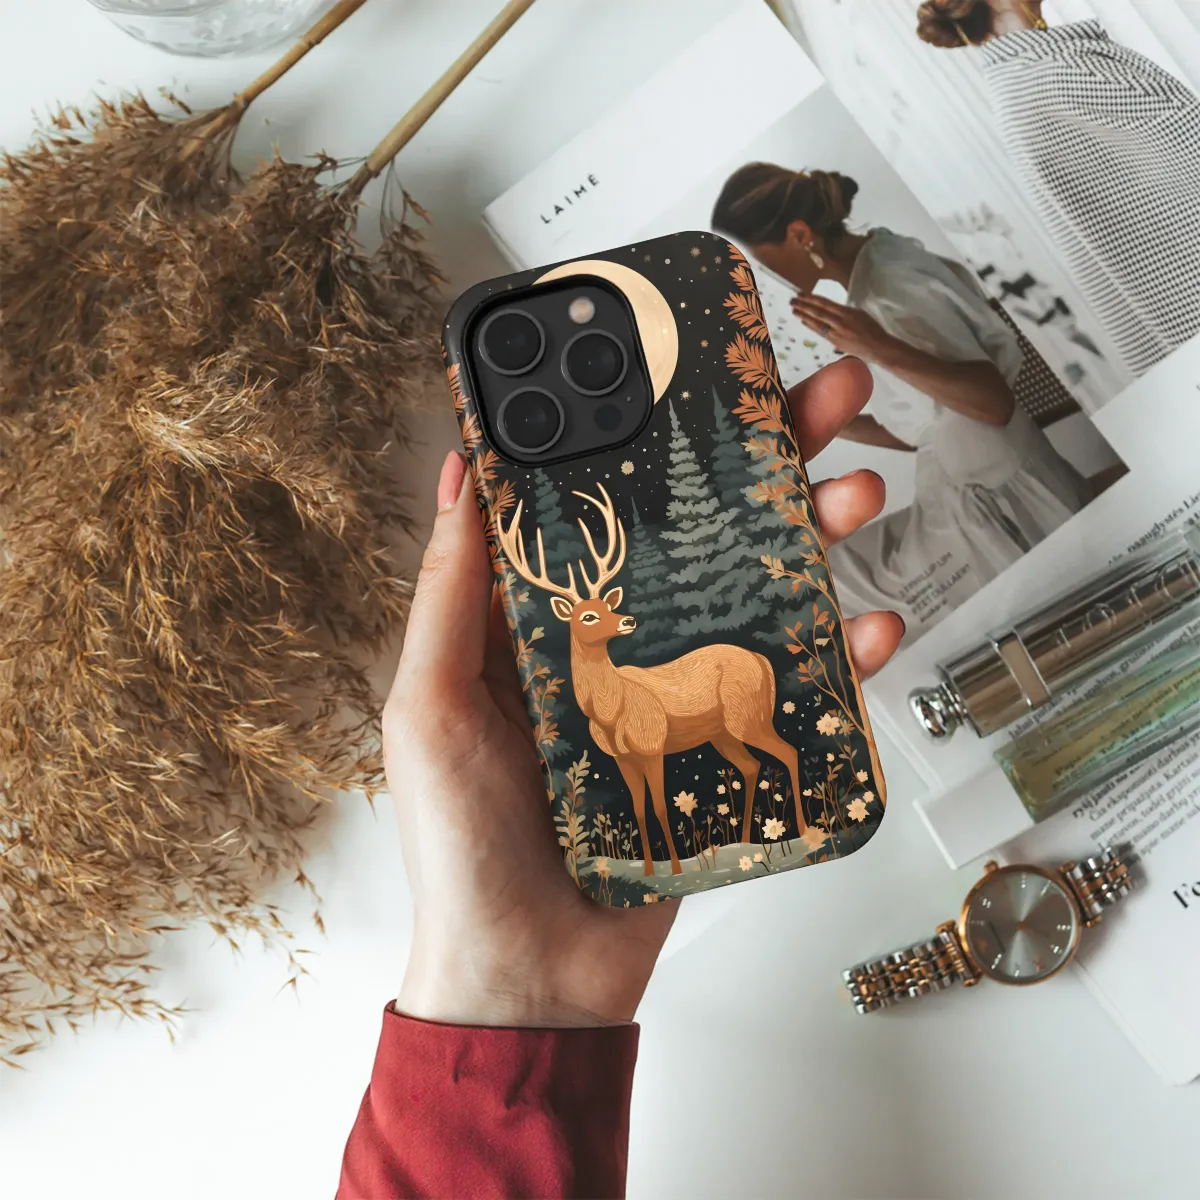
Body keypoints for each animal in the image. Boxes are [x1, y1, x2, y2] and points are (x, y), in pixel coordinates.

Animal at [498, 483, 806, 877]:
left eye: (608, 606)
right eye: (587, 616)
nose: (627, 620)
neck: (610, 711)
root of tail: (762, 661)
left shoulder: (652, 744)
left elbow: (660, 806)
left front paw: (674, 869)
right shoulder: (622, 758)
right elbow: (638, 809)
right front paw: (647, 870)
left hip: (747, 716)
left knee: (789, 752)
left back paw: (803, 831)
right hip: (721, 733)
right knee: (752, 766)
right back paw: (748, 844)